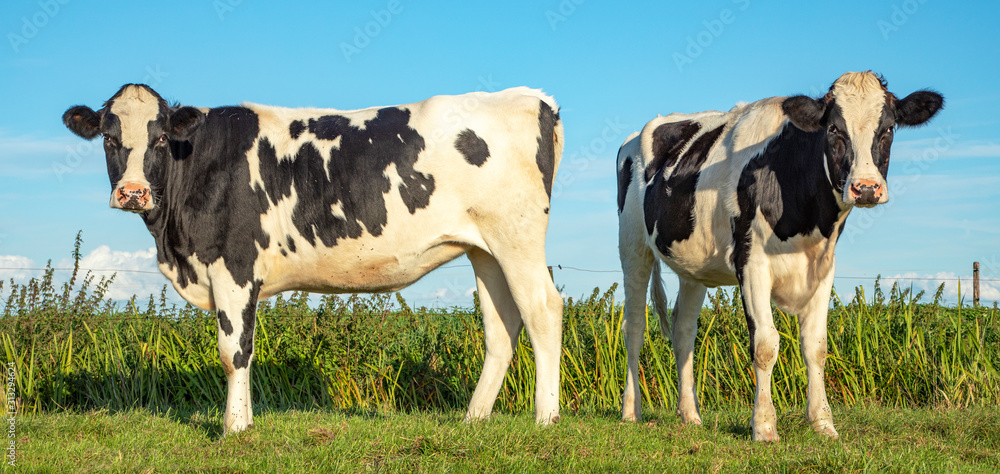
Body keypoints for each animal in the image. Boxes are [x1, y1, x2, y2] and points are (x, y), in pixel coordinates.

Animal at [62, 84, 565, 434]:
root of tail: (530, 97)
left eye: (162, 138)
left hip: (516, 236)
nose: (133, 192)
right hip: (485, 248)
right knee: (502, 325)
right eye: (108, 137)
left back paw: (546, 417)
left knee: (542, 309)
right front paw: (243, 422)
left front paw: (235, 427)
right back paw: (474, 418)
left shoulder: (234, 266)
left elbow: (234, 351)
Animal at [616, 71, 943, 441]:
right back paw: (631, 412)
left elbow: (816, 346)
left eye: (888, 128)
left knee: (684, 330)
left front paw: (823, 423)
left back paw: (690, 415)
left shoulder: (824, 267)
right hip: (632, 245)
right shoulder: (751, 263)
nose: (866, 188)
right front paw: (764, 426)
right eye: (834, 129)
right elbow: (765, 344)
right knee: (634, 326)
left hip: (692, 266)